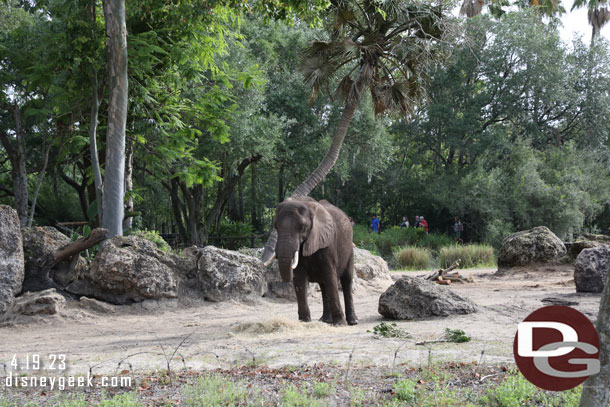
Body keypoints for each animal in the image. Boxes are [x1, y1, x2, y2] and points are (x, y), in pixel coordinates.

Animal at [262, 196, 356, 326]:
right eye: (276, 227)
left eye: (302, 228)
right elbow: (299, 279)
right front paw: (304, 321)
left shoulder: (328, 242)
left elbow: (330, 276)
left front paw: (339, 324)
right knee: (323, 286)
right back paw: (325, 320)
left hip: (349, 249)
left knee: (346, 280)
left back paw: (352, 321)